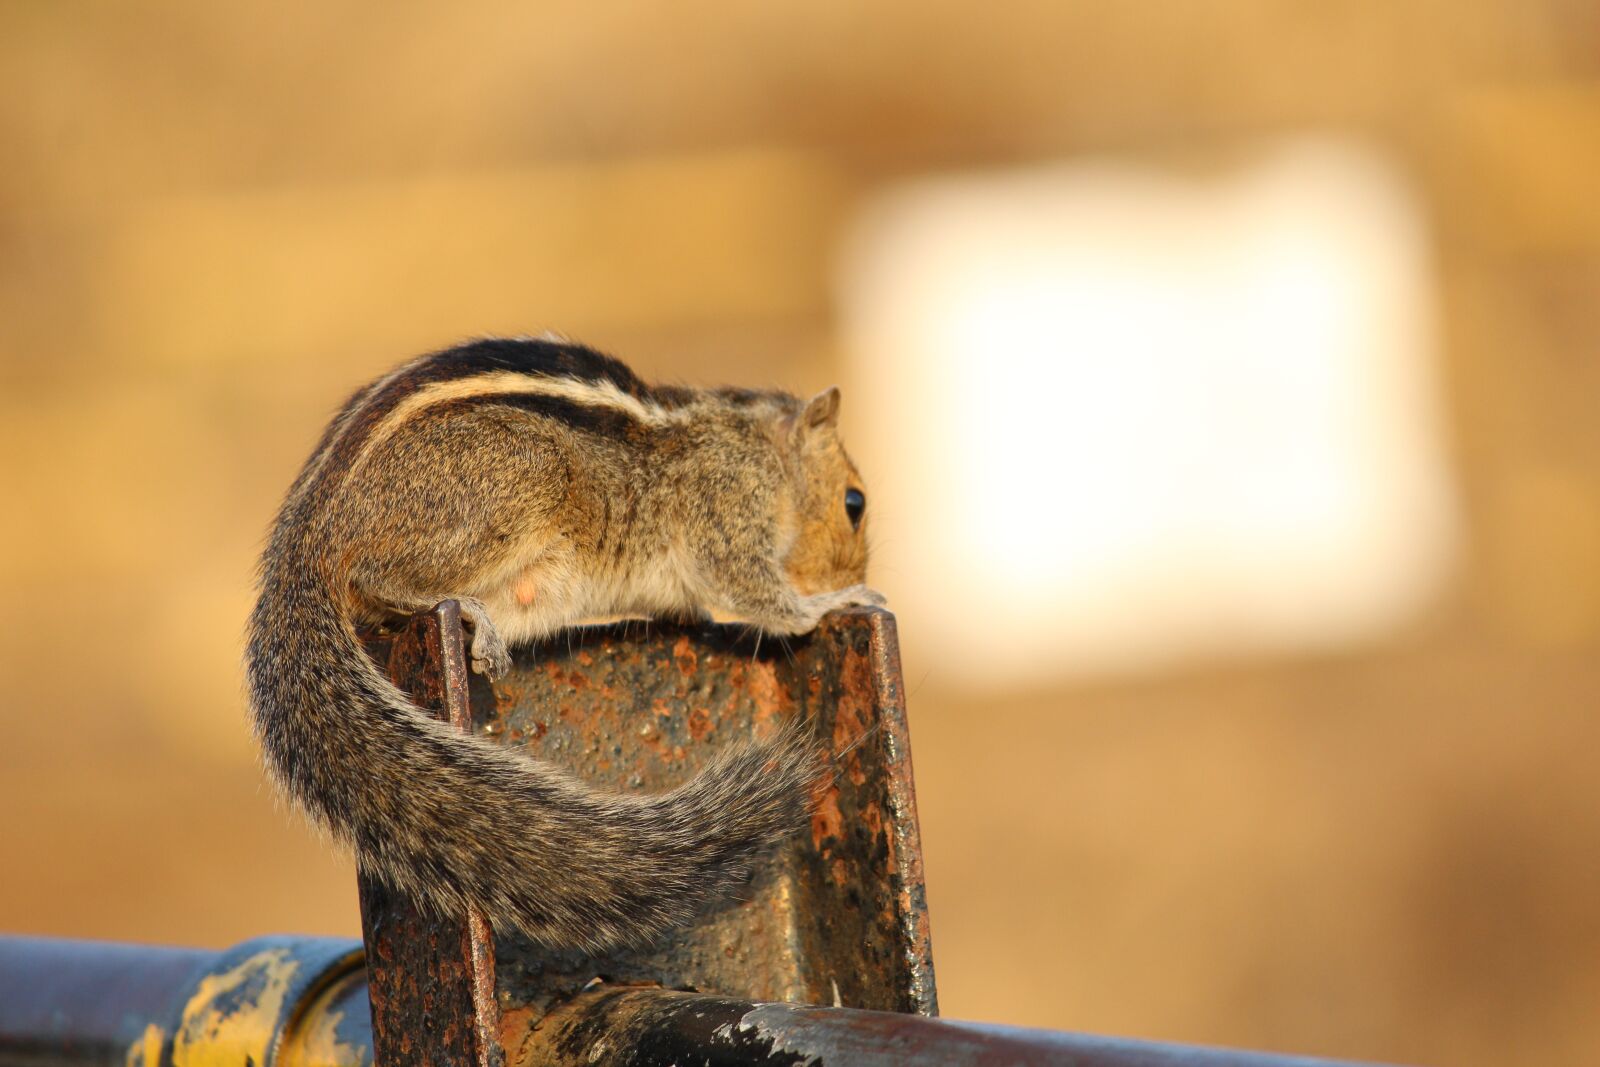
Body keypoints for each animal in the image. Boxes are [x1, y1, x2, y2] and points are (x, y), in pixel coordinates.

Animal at [246, 336, 882, 953]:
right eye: (854, 503)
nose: (849, 572)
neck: (756, 446)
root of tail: (305, 540)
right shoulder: (725, 508)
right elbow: (751, 587)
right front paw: (838, 600)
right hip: (521, 473)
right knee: (374, 576)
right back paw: (466, 610)